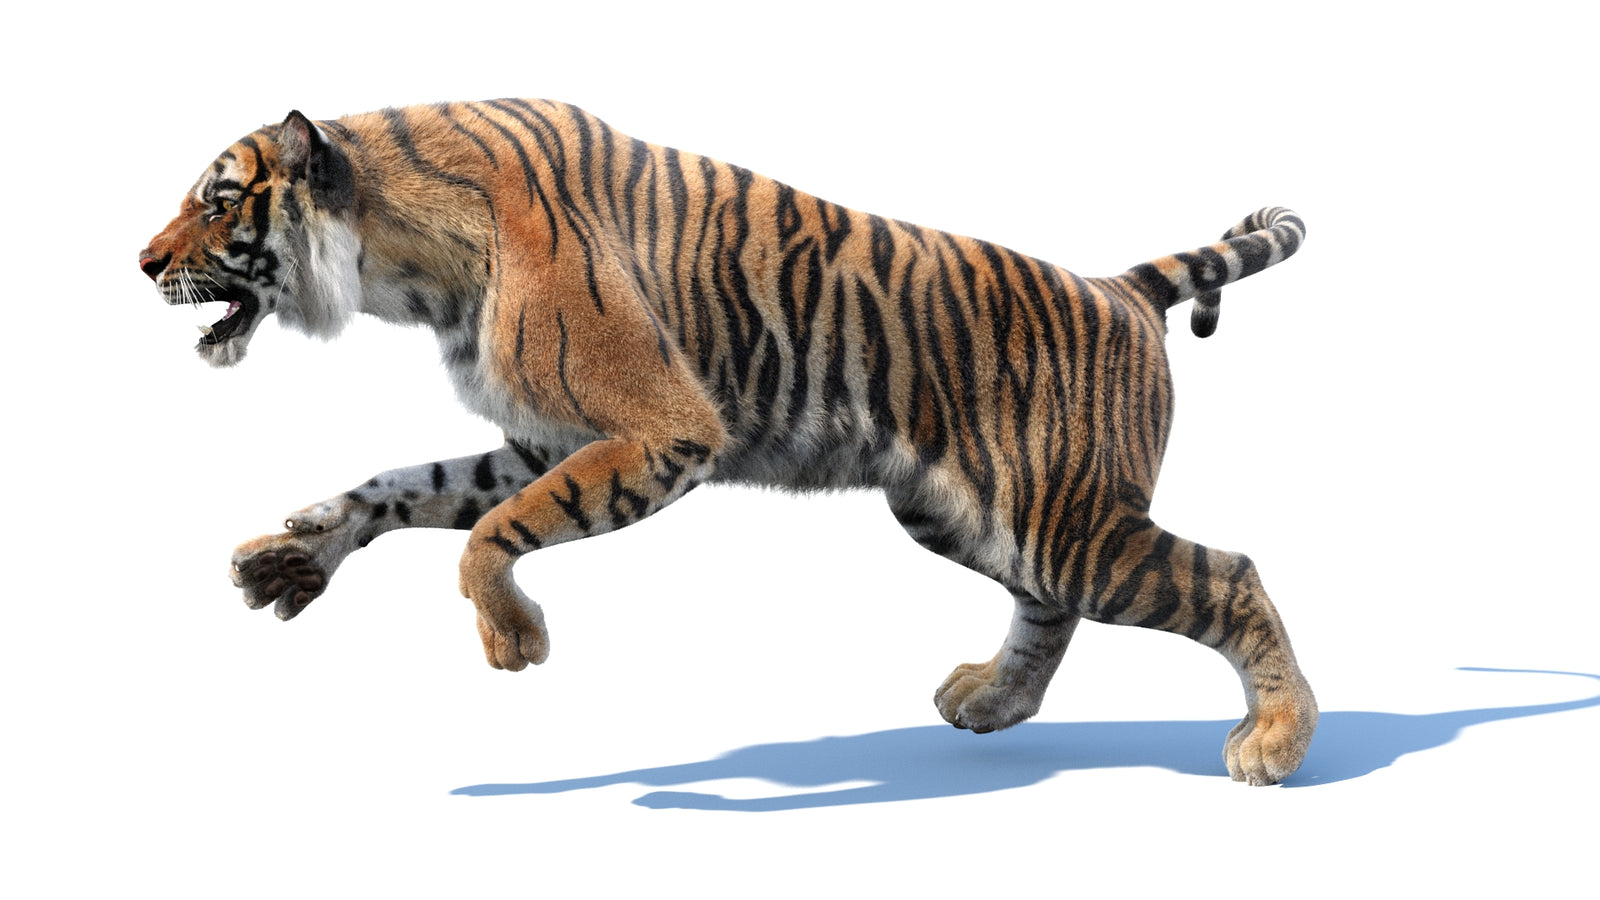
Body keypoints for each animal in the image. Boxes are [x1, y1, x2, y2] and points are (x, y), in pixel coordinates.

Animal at [140, 99, 1315, 785]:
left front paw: (515, 639)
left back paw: (1274, 743)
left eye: (220, 201)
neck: (401, 260)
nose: (143, 262)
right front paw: (297, 554)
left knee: (1229, 574)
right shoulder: (545, 439)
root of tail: (1117, 286)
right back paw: (991, 700)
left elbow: (488, 536)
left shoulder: (663, 430)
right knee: (1048, 609)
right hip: (975, 516)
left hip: (1064, 522)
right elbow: (411, 487)